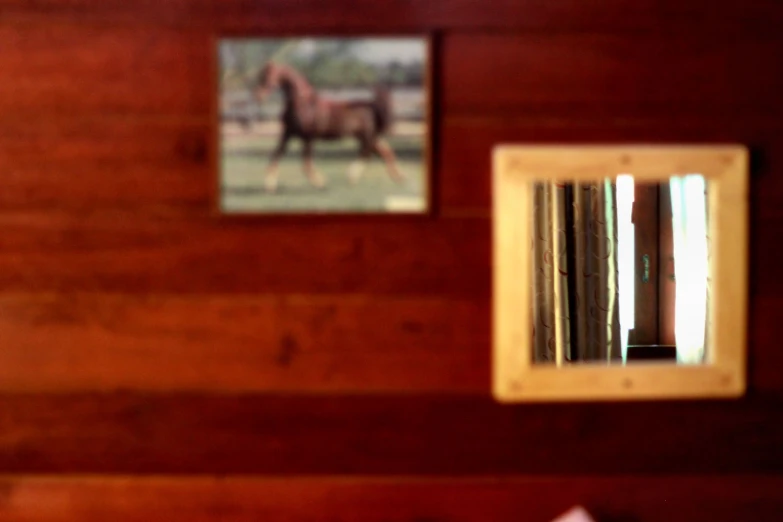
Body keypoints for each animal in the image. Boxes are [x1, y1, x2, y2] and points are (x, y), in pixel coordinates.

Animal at [256, 61, 404, 191]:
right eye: (261, 75)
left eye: (267, 76)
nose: (258, 96)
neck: (303, 104)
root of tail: (371, 105)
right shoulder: (287, 133)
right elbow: (276, 156)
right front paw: (269, 186)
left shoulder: (308, 138)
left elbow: (306, 165)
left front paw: (320, 183)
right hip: (368, 137)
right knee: (385, 152)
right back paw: (398, 177)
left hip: (367, 137)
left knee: (367, 154)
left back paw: (351, 176)